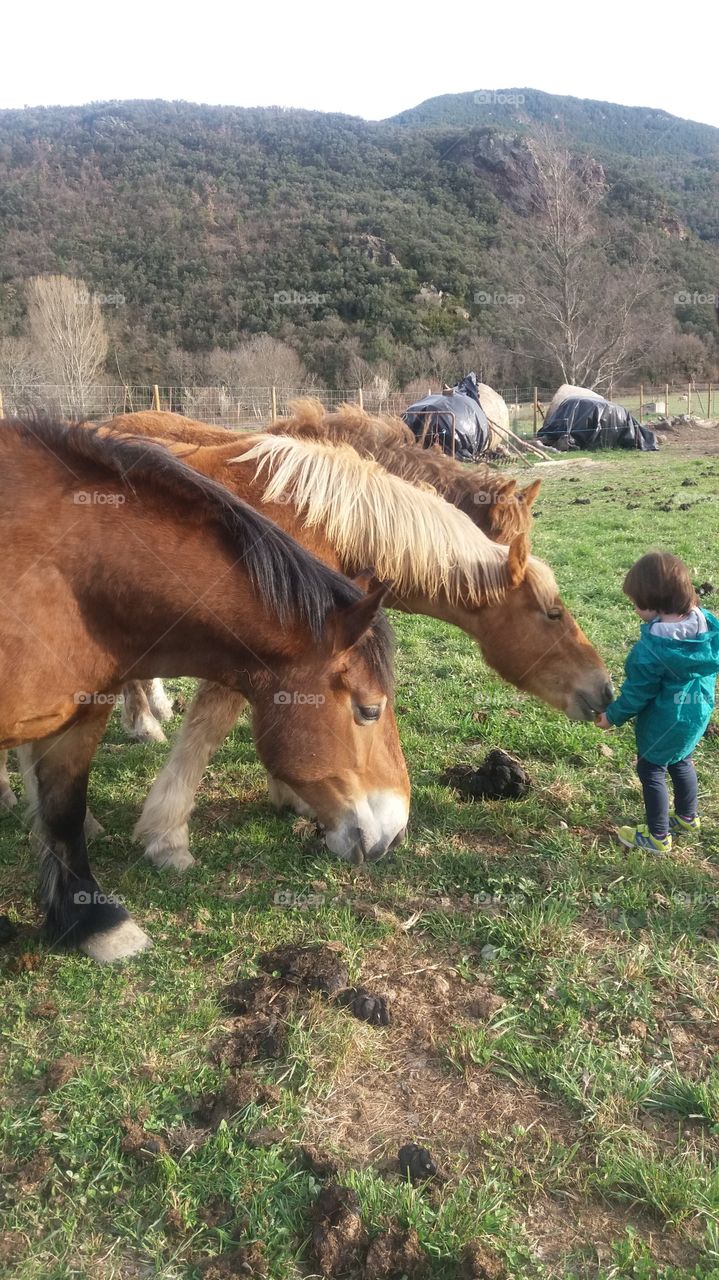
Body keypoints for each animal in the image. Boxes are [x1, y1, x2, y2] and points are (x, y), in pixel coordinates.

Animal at [0, 416, 408, 960]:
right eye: (368, 710)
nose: (396, 833)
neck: (67, 572)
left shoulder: (78, 713)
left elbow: (64, 811)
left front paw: (91, 922)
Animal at [79, 411, 611, 872]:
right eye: (553, 613)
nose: (604, 691)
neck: (317, 519)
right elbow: (209, 731)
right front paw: (167, 836)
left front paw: (291, 795)